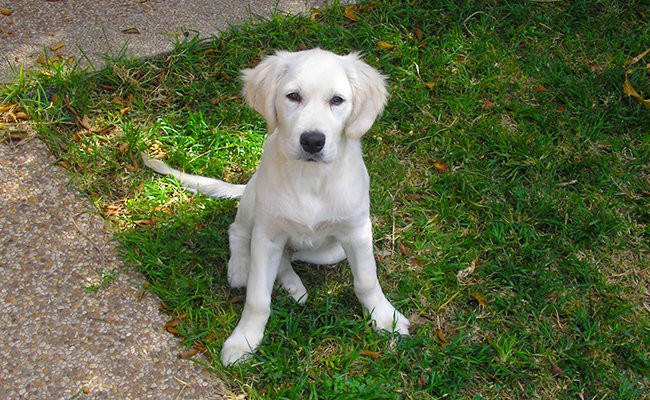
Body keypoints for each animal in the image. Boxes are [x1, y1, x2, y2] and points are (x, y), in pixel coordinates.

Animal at [144, 49, 408, 366]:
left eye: (337, 100)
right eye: (293, 96)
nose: (312, 141)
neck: (310, 179)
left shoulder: (357, 232)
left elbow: (367, 281)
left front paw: (386, 317)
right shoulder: (267, 235)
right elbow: (258, 298)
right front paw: (244, 340)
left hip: (333, 251)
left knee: (289, 256)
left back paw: (293, 286)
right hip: (253, 203)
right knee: (238, 232)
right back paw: (240, 268)